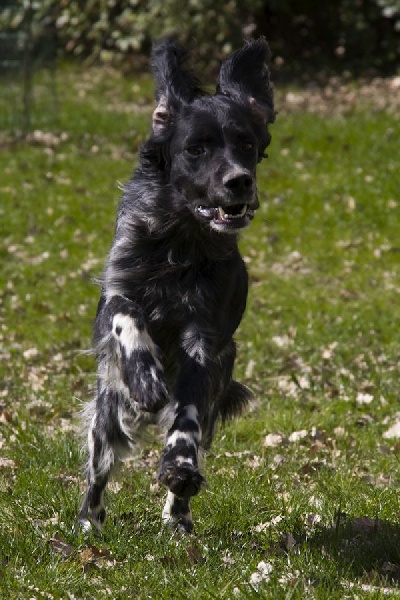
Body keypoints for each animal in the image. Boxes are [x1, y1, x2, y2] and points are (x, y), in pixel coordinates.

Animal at [78, 38, 274, 536]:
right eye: (196, 149)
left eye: (246, 144)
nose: (239, 181)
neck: (180, 243)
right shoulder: (113, 295)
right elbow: (127, 314)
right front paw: (147, 376)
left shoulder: (205, 342)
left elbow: (185, 417)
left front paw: (179, 469)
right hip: (109, 413)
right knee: (98, 469)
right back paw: (89, 523)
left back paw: (177, 514)